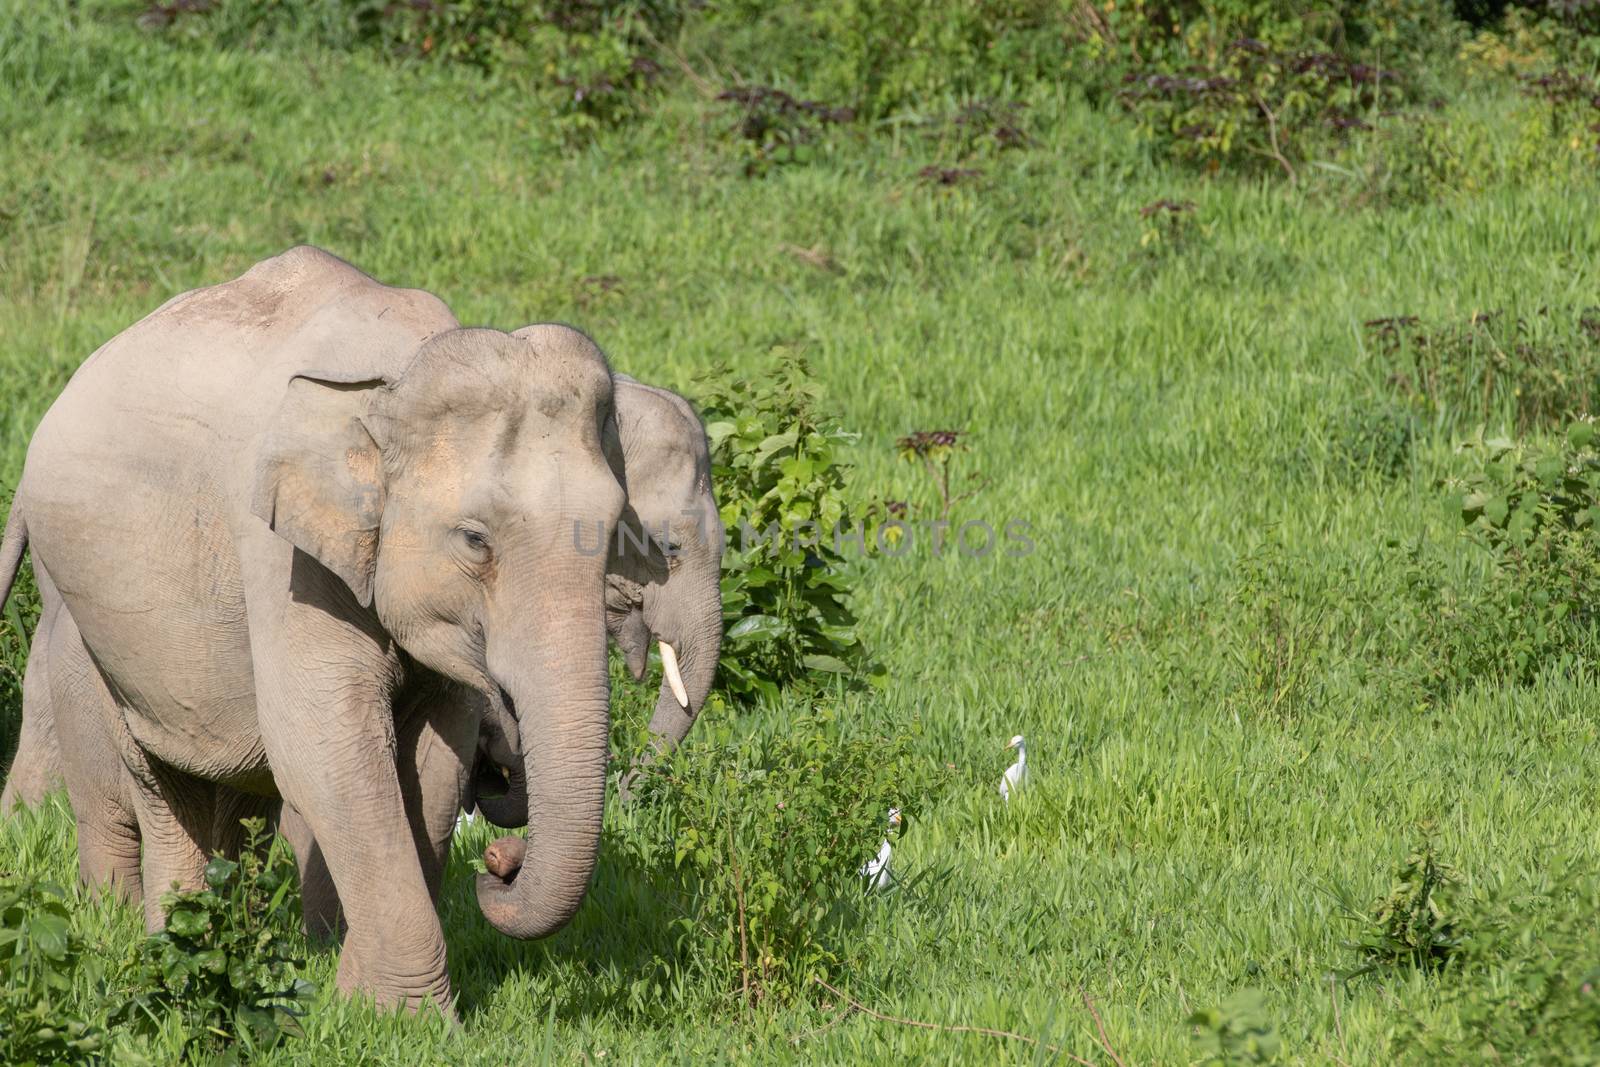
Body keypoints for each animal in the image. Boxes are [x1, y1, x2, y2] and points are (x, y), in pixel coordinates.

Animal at [0, 247, 624, 1011]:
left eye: (618, 530)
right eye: (476, 539)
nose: (499, 865)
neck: (396, 372)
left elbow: (433, 761)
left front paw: (349, 985)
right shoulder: (279, 553)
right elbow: (325, 746)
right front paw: (404, 1014)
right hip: (94, 622)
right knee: (157, 777)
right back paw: (172, 948)